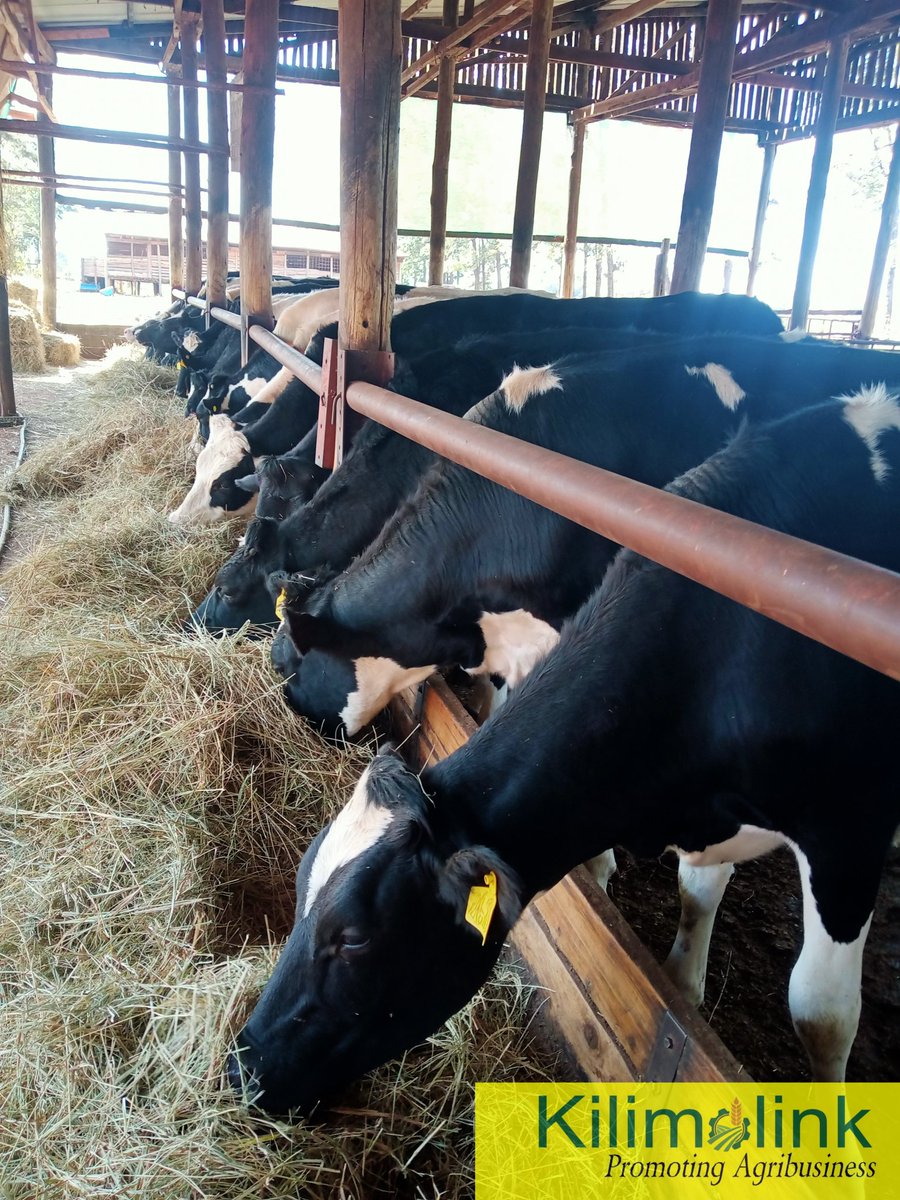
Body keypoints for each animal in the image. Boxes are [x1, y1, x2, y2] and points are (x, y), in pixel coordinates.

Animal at [230, 385, 900, 1112]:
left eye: (351, 938)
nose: (242, 1065)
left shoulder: (849, 828)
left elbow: (821, 1012)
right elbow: (698, 891)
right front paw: (683, 980)